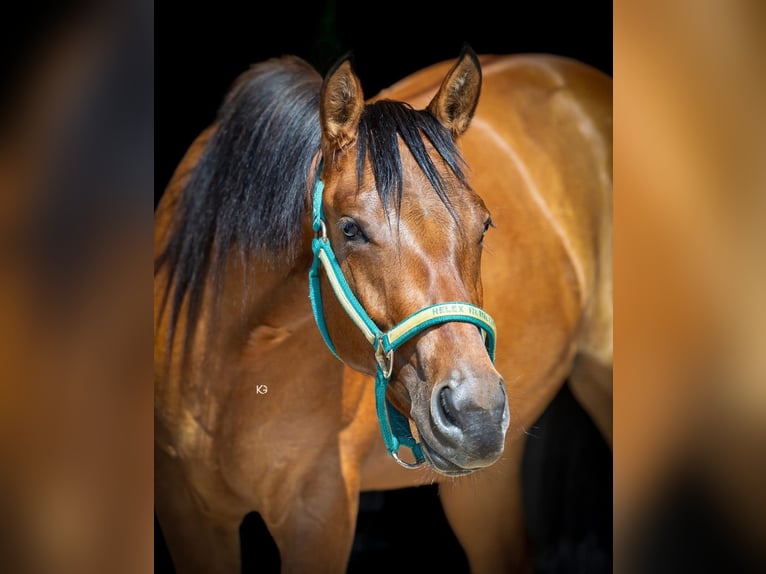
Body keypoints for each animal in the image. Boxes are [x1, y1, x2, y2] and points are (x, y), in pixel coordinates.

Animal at [154, 44, 612, 573]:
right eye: (350, 228)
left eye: (484, 225)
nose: (475, 412)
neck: (231, 364)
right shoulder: (188, 513)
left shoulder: (320, 512)